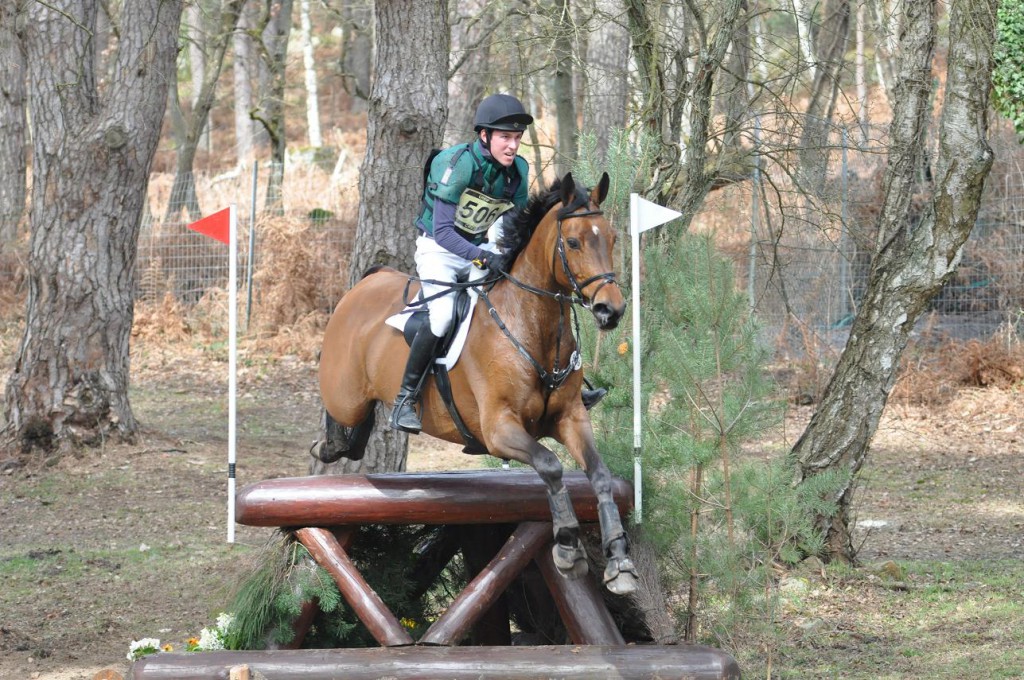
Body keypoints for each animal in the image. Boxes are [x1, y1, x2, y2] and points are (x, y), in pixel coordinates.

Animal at [319, 171, 634, 593]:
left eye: (612, 239)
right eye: (573, 242)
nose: (610, 310)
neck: (530, 323)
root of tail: (370, 281)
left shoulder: (571, 418)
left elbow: (599, 474)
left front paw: (619, 560)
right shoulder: (499, 429)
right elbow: (550, 464)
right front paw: (567, 545)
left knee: (358, 432)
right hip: (345, 393)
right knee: (340, 417)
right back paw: (332, 443)